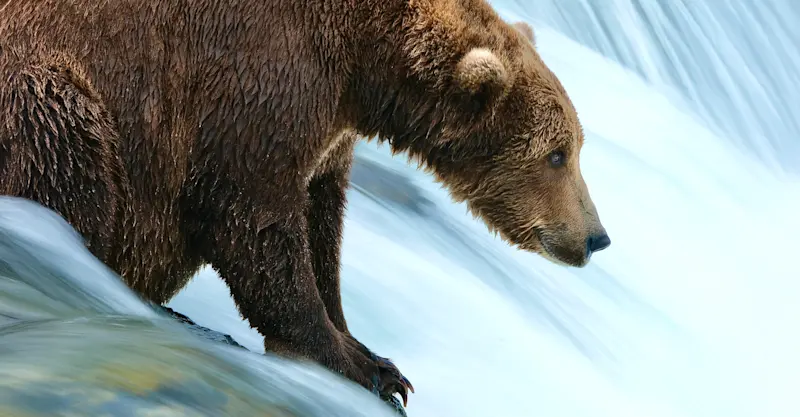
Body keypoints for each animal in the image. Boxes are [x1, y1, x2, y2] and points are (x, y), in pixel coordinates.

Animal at [0, 0, 610, 409]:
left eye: (578, 145)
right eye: (557, 154)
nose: (596, 237)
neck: (362, 62)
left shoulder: (330, 128)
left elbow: (320, 225)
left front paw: (367, 350)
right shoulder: (256, 78)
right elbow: (252, 214)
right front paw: (358, 364)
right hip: (47, 99)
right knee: (67, 157)